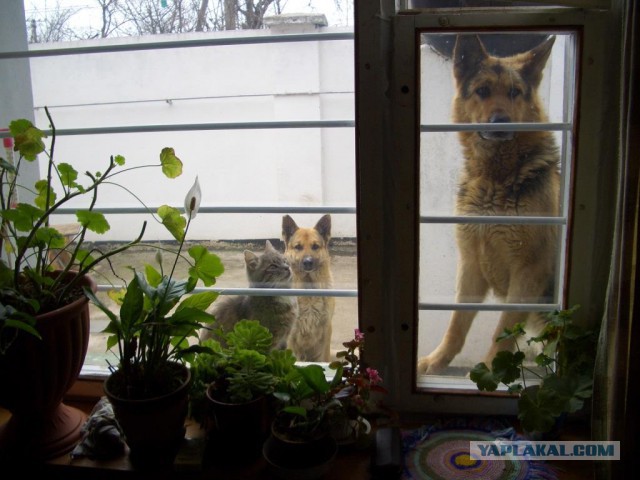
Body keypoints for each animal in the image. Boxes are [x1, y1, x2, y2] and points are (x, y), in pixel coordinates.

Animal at [284, 214, 338, 360]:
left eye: (315, 246)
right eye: (298, 247)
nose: (308, 262)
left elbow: (324, 359)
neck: (309, 287)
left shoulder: (326, 330)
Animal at [416, 35, 560, 376]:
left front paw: (493, 370)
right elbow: (456, 323)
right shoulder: (470, 266)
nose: (501, 122)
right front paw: (437, 360)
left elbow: (503, 330)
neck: (496, 178)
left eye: (515, 92)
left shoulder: (529, 272)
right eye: (482, 91)